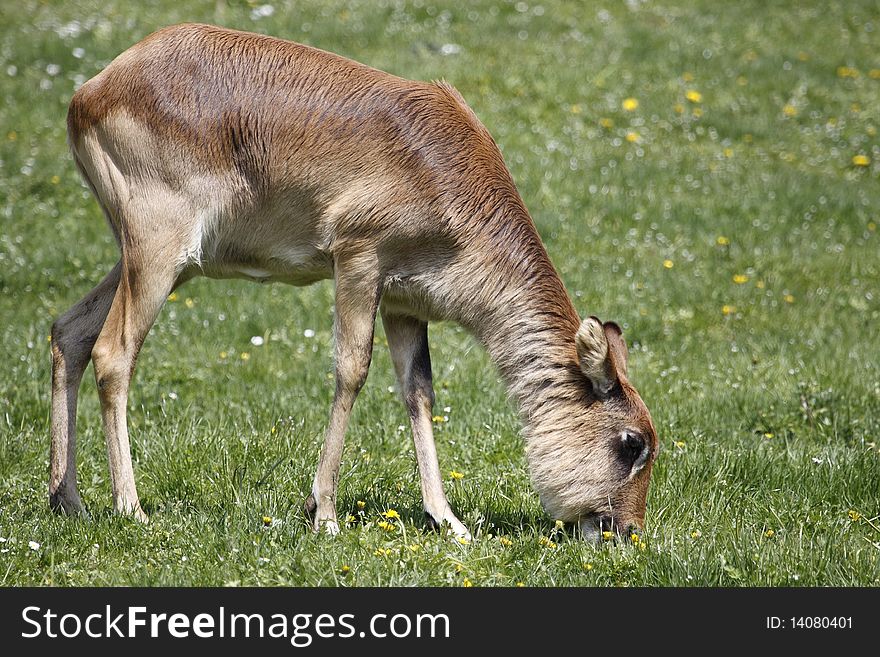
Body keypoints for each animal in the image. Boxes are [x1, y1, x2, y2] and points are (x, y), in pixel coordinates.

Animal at [48, 23, 652, 540]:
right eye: (632, 443)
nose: (625, 532)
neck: (447, 172)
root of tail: (91, 91)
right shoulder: (358, 259)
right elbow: (352, 371)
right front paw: (325, 514)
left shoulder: (405, 303)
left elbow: (418, 390)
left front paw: (447, 520)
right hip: (157, 255)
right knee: (113, 353)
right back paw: (131, 508)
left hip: (157, 261)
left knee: (69, 330)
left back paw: (68, 501)